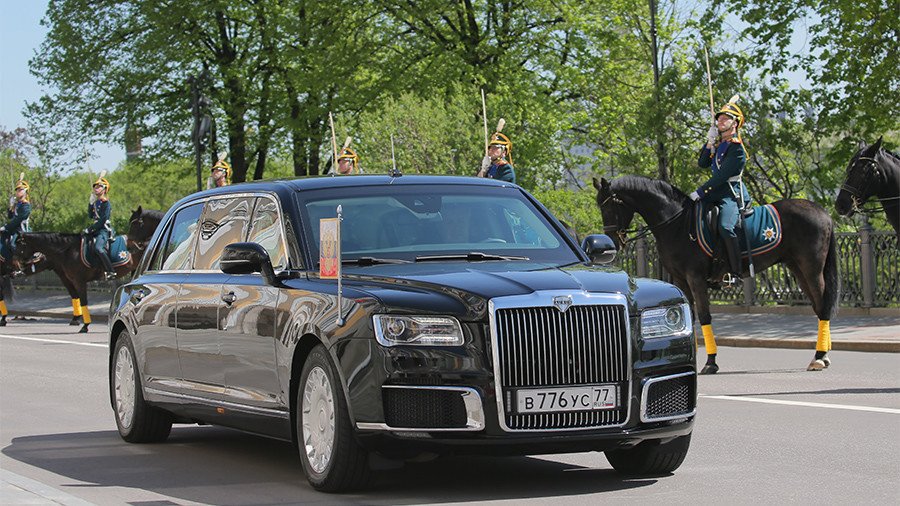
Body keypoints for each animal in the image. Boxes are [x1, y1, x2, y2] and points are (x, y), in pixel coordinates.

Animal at [596, 176, 840, 374]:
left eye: (610, 207)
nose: (611, 242)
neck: (677, 223)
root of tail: (822, 212)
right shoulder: (681, 280)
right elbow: (690, 317)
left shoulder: (695, 278)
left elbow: (704, 316)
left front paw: (710, 362)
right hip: (798, 268)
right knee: (819, 306)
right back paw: (824, 353)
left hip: (811, 268)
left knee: (823, 306)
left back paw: (820, 356)